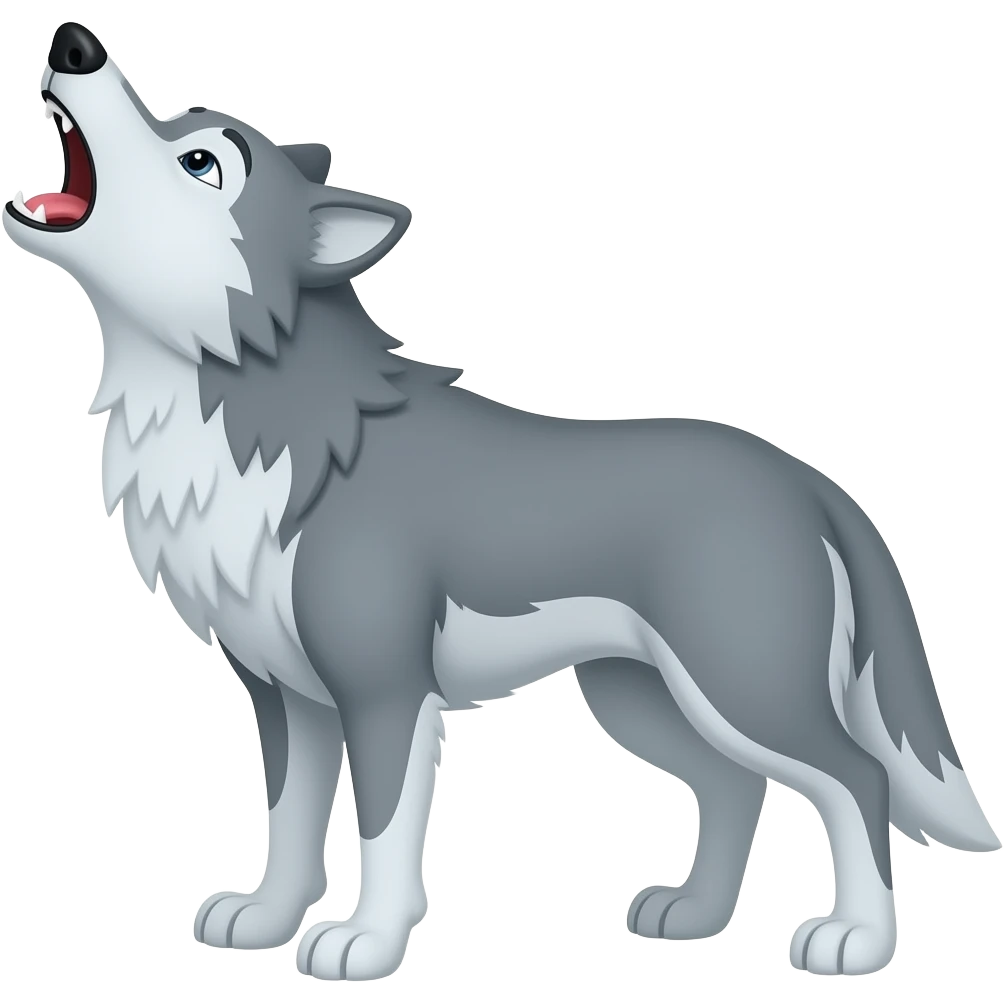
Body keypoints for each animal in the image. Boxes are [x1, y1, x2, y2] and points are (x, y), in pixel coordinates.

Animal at [4, 20, 998, 983]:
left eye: (203, 160)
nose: (71, 42)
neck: (263, 423)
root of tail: (810, 479)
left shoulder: (383, 690)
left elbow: (383, 834)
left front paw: (365, 945)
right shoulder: (285, 698)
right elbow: (287, 823)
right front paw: (264, 922)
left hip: (739, 686)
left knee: (856, 780)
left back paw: (854, 941)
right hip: (638, 699)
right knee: (734, 786)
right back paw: (693, 917)